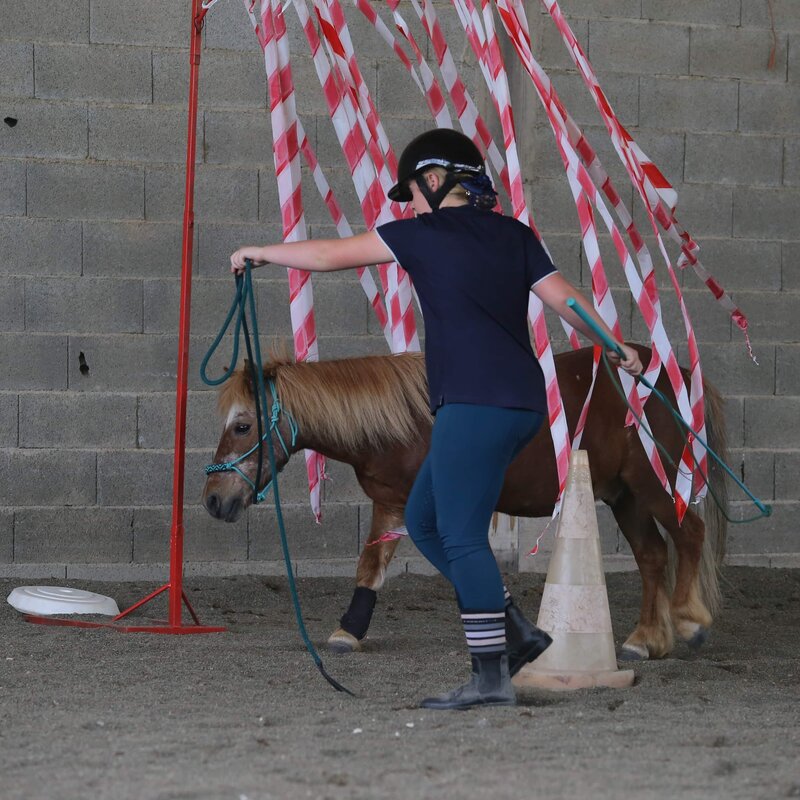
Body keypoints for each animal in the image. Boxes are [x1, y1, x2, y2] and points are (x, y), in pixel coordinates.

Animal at [203, 346, 728, 664]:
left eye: (243, 426)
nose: (212, 499)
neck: (408, 422)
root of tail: (673, 374)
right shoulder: (391, 503)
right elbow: (370, 568)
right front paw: (347, 631)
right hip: (624, 496)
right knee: (653, 557)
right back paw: (645, 640)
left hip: (654, 486)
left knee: (689, 536)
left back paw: (689, 621)